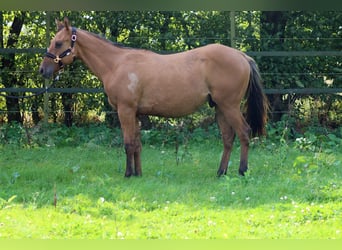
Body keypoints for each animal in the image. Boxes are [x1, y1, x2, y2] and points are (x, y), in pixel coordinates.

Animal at [39, 17, 270, 178]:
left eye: (58, 43)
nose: (43, 70)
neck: (117, 64)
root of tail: (241, 55)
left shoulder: (125, 110)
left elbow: (128, 144)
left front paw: (128, 174)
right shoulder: (136, 114)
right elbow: (137, 144)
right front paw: (138, 174)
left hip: (230, 107)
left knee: (244, 133)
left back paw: (242, 171)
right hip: (220, 108)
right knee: (228, 139)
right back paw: (221, 172)